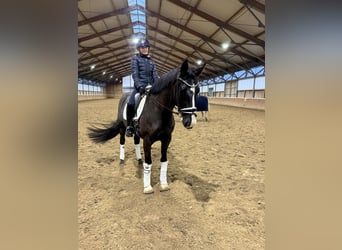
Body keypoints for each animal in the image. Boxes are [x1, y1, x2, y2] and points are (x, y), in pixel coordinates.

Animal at [89, 60, 206, 193]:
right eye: (182, 89)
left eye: (197, 90)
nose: (190, 122)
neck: (159, 111)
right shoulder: (147, 140)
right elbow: (149, 163)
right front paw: (147, 187)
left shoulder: (166, 139)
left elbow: (164, 160)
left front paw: (164, 184)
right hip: (122, 128)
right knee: (122, 142)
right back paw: (122, 160)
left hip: (136, 132)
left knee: (136, 142)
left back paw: (139, 159)